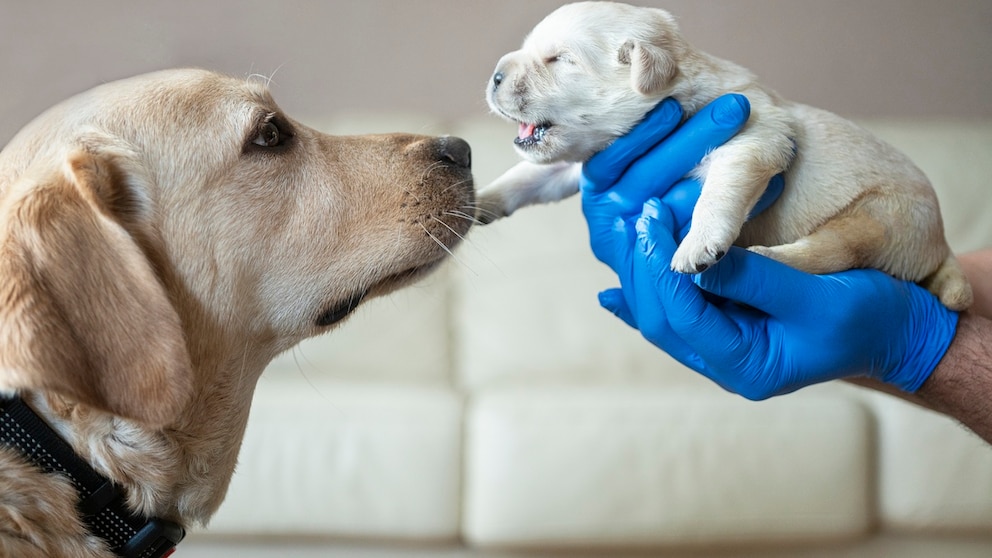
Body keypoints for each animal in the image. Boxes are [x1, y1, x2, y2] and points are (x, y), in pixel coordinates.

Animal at [476, 0, 972, 310]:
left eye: (559, 60)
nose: (495, 75)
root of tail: (942, 245)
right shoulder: (583, 158)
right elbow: (526, 176)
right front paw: (480, 200)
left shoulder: (755, 137)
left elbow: (719, 193)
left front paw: (699, 245)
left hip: (880, 217)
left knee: (833, 253)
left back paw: (766, 260)